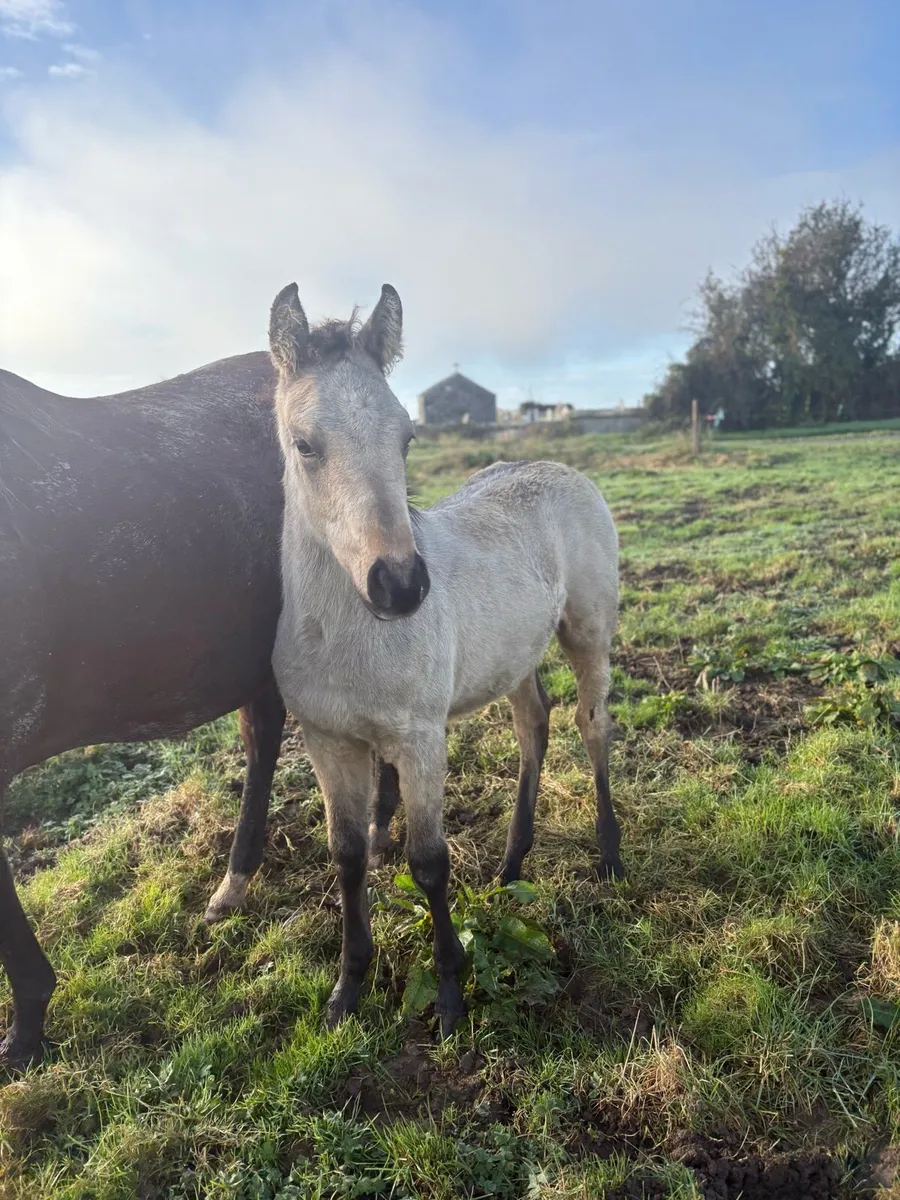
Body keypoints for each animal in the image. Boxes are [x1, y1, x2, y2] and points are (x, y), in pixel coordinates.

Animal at [268, 282, 622, 1037]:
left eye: (407, 437)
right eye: (304, 444)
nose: (400, 585)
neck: (344, 635)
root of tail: (559, 468)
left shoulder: (420, 738)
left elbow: (428, 861)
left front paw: (452, 996)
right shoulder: (327, 740)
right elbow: (348, 856)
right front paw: (347, 988)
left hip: (588, 631)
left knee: (592, 724)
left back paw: (609, 853)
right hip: (514, 655)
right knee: (534, 725)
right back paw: (512, 865)